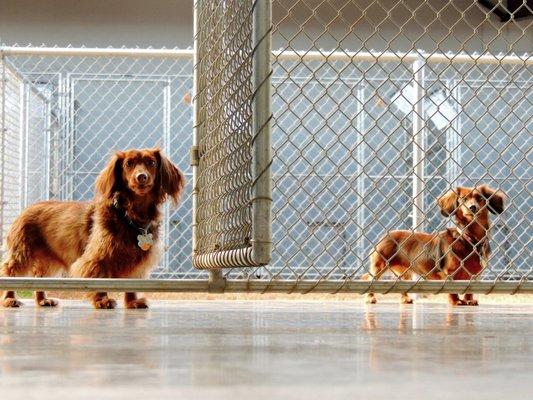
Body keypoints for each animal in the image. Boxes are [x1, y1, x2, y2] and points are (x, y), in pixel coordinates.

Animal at [0, 148, 184, 308]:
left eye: (151, 162)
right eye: (129, 164)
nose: (141, 177)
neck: (129, 215)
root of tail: (26, 208)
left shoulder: (137, 261)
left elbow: (131, 284)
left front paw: (132, 302)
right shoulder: (96, 258)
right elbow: (98, 277)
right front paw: (102, 300)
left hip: (48, 259)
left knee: (39, 276)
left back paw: (43, 300)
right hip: (22, 253)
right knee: (9, 271)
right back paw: (9, 299)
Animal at [364, 185, 504, 306]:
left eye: (480, 198)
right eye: (463, 199)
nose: (472, 207)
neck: (468, 239)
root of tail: (385, 236)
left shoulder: (475, 275)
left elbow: (469, 290)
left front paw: (469, 300)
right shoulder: (449, 272)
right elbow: (452, 289)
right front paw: (456, 301)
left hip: (404, 272)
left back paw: (405, 298)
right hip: (379, 266)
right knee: (368, 279)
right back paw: (370, 298)